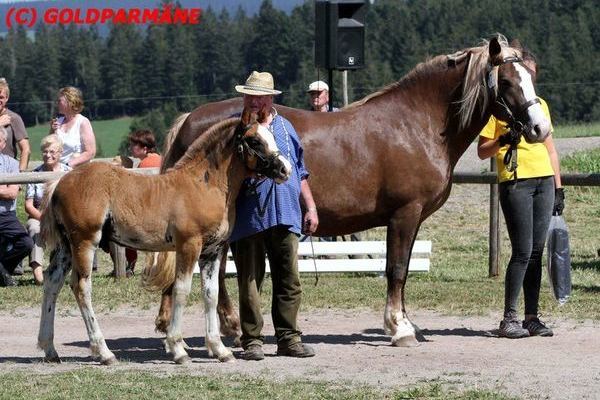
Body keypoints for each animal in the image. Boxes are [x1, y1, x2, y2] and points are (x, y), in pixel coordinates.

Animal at [37, 110, 290, 366]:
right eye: (255, 141)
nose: (285, 169)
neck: (203, 184)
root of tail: (59, 183)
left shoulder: (212, 251)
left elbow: (211, 294)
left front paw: (220, 349)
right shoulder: (189, 245)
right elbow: (181, 290)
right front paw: (178, 348)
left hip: (66, 247)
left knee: (52, 283)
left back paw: (50, 349)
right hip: (85, 241)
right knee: (81, 287)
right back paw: (104, 352)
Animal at [150, 35, 548, 346]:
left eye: (532, 76)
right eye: (507, 82)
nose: (540, 128)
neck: (417, 124)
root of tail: (190, 119)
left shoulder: (412, 218)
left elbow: (401, 269)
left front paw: (405, 322)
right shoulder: (405, 214)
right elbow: (397, 269)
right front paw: (399, 328)